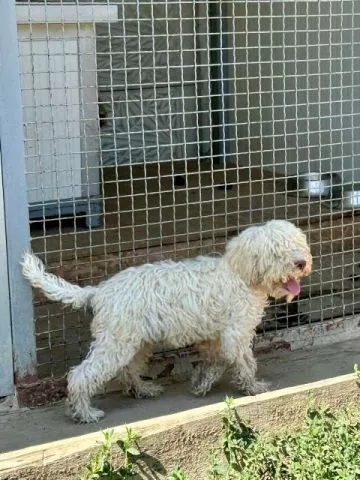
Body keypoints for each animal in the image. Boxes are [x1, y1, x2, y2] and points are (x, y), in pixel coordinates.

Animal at [21, 219, 310, 422]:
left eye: (297, 245)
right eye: (276, 252)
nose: (301, 263)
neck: (241, 275)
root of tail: (100, 291)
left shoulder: (216, 337)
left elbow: (214, 362)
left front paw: (201, 384)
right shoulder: (235, 334)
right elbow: (244, 362)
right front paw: (254, 386)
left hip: (136, 343)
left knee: (129, 370)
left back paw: (143, 390)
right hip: (115, 344)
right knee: (81, 375)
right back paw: (85, 413)